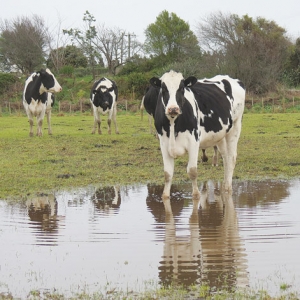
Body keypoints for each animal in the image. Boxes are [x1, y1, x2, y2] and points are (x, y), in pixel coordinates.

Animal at [149, 70, 245, 199]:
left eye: (182, 88)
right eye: (163, 89)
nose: (173, 109)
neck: (173, 123)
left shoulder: (193, 142)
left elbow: (192, 171)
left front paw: (196, 195)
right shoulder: (164, 143)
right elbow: (167, 174)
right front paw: (165, 195)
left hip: (235, 126)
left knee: (231, 157)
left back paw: (227, 188)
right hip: (220, 135)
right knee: (225, 157)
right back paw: (224, 185)